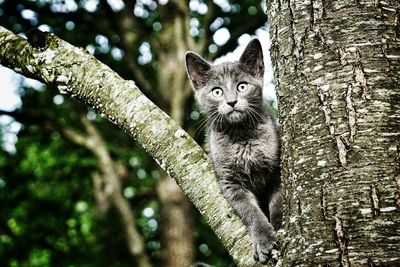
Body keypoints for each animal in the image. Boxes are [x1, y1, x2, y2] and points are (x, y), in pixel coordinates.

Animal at [184, 38, 282, 264]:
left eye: (242, 86)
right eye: (217, 91)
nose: (231, 102)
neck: (242, 136)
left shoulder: (276, 170)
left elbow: (278, 201)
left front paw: (279, 225)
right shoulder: (230, 181)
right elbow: (250, 210)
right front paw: (263, 239)